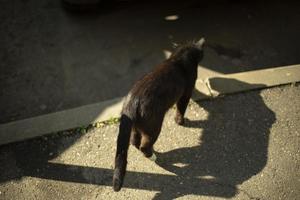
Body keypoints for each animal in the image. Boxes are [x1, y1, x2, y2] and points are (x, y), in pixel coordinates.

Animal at [113, 38, 206, 191]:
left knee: (133, 139)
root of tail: (131, 102)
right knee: (145, 144)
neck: (178, 58)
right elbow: (181, 108)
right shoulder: (186, 91)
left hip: (136, 125)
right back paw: (153, 156)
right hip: (154, 126)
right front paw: (180, 121)